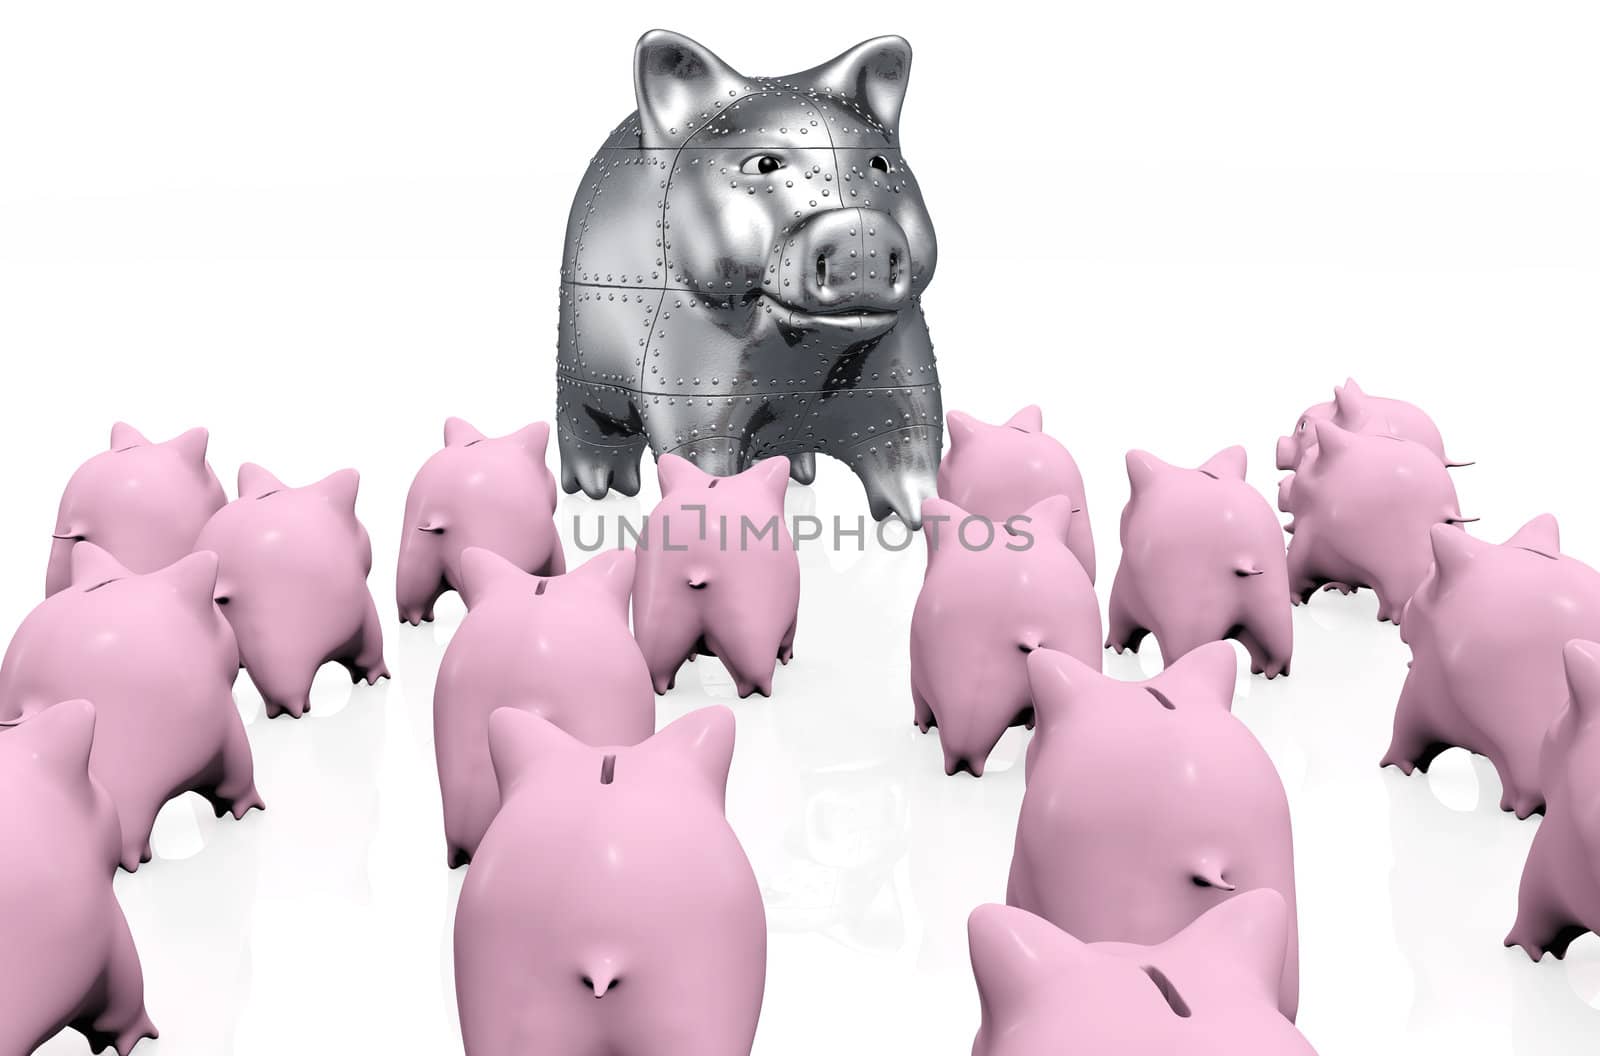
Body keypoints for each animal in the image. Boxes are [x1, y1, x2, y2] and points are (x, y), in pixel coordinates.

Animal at [556, 31, 940, 524]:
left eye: (879, 163)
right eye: (763, 164)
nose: (858, 228)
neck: (808, 358)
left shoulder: (904, 359)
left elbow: (912, 434)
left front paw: (919, 515)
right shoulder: (688, 379)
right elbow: (703, 454)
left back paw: (796, 473)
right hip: (578, 360)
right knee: (585, 425)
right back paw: (599, 491)